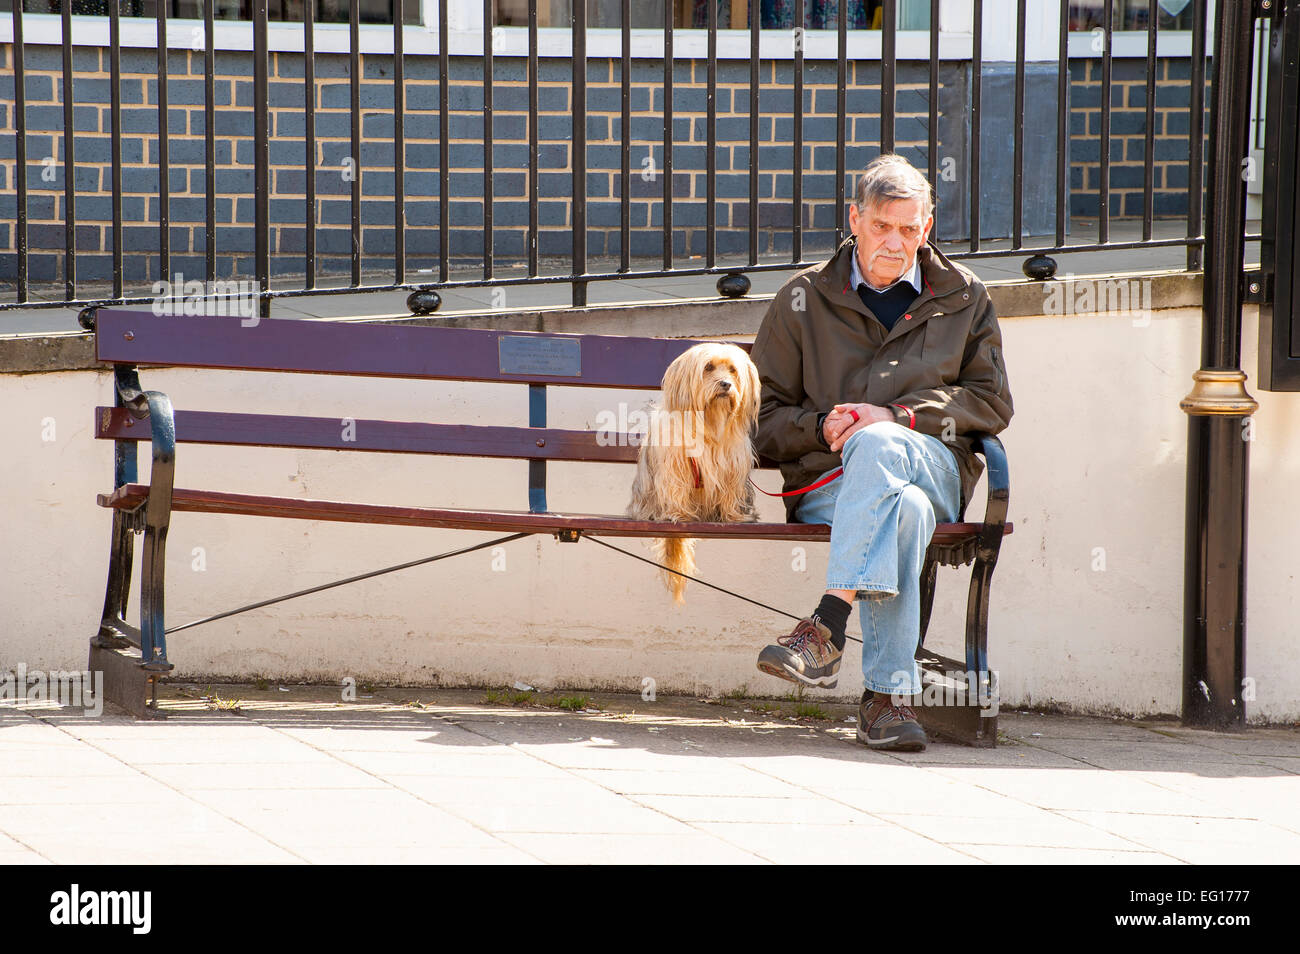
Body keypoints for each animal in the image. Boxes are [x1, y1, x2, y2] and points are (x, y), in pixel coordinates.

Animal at [626, 343, 759, 605]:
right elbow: (674, 488)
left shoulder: (733, 463)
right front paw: (677, 514)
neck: (708, 425)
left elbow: (730, 491)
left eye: (732, 370)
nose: (726, 384)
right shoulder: (675, 464)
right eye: (708, 367)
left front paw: (733, 516)